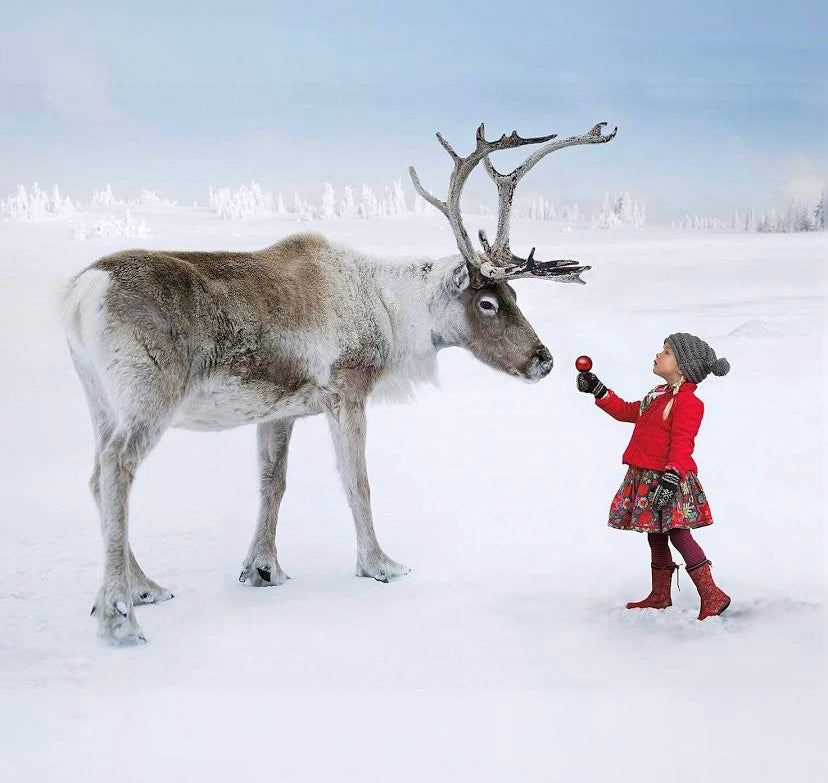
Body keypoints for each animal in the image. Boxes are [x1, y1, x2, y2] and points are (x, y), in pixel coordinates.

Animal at [62, 122, 616, 644]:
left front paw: (262, 568)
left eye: (515, 297)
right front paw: (380, 564)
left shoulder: (280, 410)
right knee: (117, 466)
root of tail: (82, 291)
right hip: (149, 394)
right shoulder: (348, 390)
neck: (391, 314)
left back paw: (144, 587)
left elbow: (273, 483)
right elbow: (357, 480)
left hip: (99, 398)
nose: (545, 360)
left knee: (95, 474)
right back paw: (119, 615)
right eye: (487, 303)